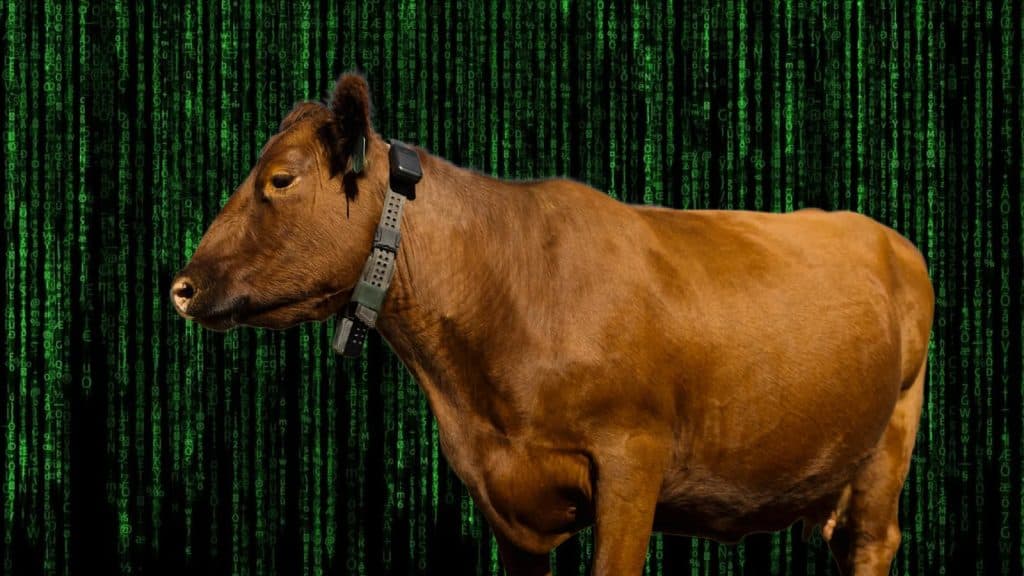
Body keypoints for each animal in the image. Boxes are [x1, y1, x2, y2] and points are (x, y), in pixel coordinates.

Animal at [171, 72, 935, 575]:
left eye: (280, 179)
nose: (181, 287)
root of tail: (886, 234)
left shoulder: (632, 458)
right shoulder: (501, 492)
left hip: (892, 436)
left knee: (871, 541)